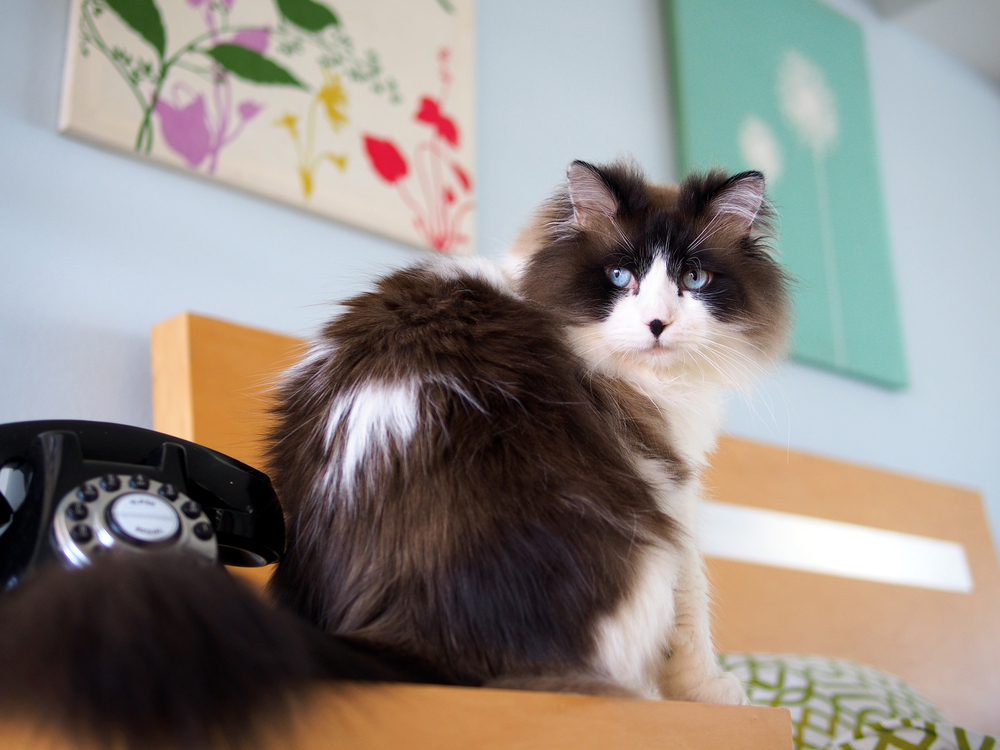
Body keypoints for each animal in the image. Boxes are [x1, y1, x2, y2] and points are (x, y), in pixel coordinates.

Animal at [264, 159, 788, 704]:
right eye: (620, 276)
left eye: (694, 278)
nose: (657, 323)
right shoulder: (670, 484)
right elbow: (693, 606)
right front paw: (713, 692)